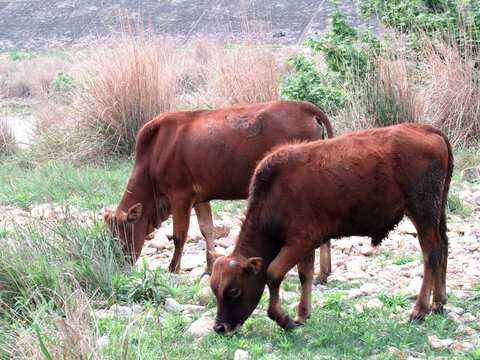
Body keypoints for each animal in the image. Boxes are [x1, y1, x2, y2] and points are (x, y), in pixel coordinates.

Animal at [103, 100, 332, 274]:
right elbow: (207, 230)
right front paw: (209, 267)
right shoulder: (199, 198)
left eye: (117, 236)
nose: (120, 265)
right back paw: (323, 273)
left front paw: (173, 268)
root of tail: (304, 107)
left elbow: (179, 235)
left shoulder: (180, 196)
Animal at [211, 124, 454, 334]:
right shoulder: (304, 243)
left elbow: (273, 273)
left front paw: (284, 319)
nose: (219, 327)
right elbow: (305, 274)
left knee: (432, 253)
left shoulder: (302, 241)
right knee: (444, 245)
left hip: (423, 211)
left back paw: (419, 310)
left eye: (233, 291)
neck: (273, 194)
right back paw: (438, 303)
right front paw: (302, 315)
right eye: (214, 289)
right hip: (437, 213)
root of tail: (427, 129)